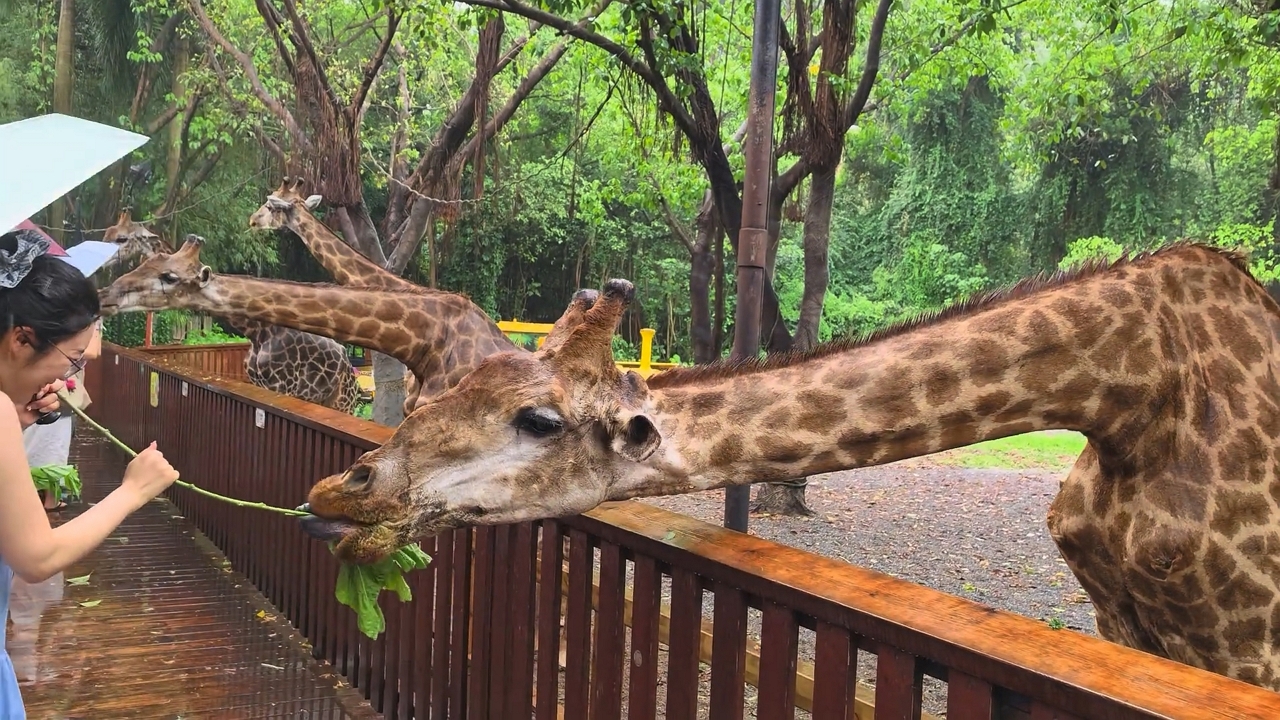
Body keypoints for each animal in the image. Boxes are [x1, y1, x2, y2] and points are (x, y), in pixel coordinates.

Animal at [300, 244, 1280, 690]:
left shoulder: (1247, 638)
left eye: (539, 420)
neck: (1133, 391)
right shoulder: (1123, 617)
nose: (341, 491)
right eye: (439, 394)